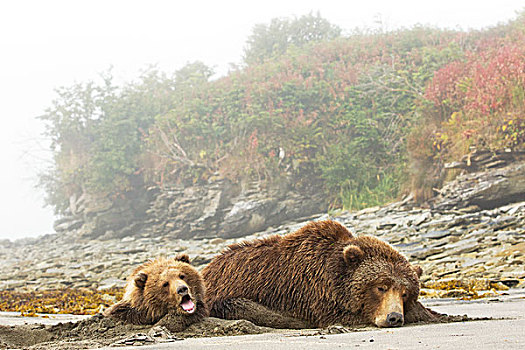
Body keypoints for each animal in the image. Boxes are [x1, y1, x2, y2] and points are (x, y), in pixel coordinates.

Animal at [201, 221, 438, 328]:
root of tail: (207, 268)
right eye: (381, 286)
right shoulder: (312, 291)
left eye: (406, 293)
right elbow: (338, 316)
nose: (394, 317)